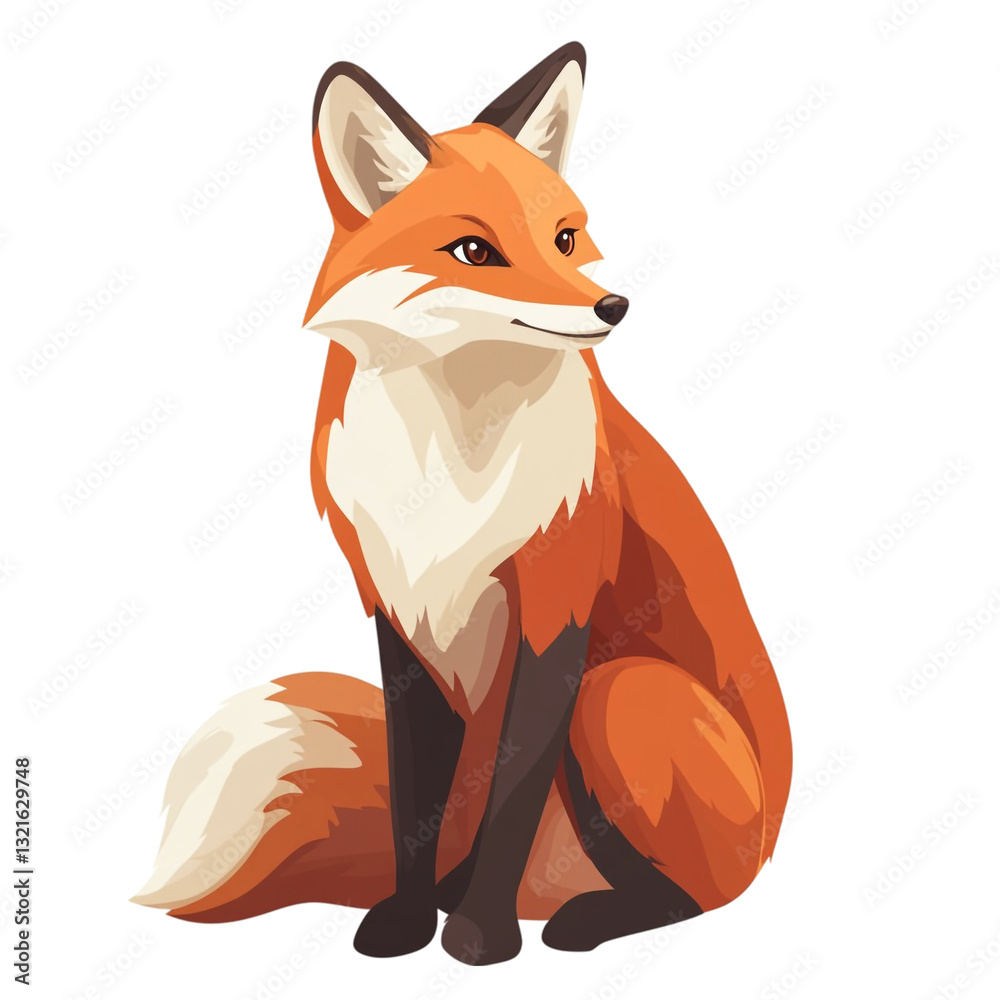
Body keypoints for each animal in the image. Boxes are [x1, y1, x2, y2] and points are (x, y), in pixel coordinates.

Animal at [133, 42, 792, 965]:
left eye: (563, 238)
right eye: (475, 250)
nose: (613, 306)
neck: (449, 472)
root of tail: (772, 839)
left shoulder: (556, 611)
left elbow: (512, 794)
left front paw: (480, 938)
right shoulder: (395, 612)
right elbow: (416, 798)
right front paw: (408, 922)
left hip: (618, 692)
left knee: (700, 897)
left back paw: (584, 917)